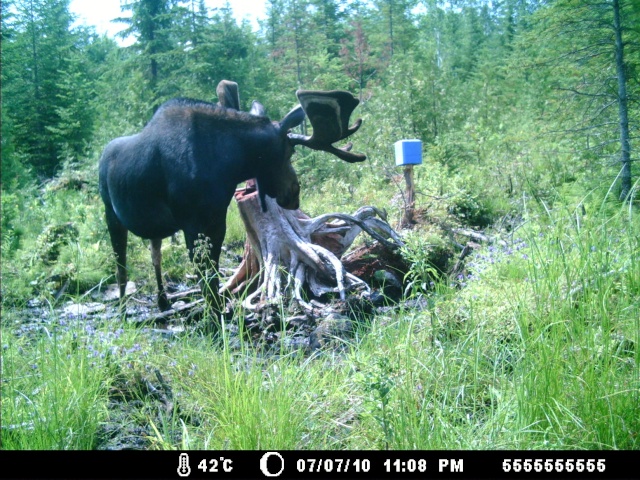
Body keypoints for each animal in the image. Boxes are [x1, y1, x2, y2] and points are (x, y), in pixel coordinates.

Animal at [96, 80, 364, 314]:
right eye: (289, 151)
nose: (294, 195)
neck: (226, 165)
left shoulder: (216, 219)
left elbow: (213, 274)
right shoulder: (192, 223)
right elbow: (205, 277)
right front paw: (214, 321)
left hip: (155, 228)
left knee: (155, 255)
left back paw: (163, 302)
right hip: (111, 214)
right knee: (121, 265)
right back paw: (123, 309)